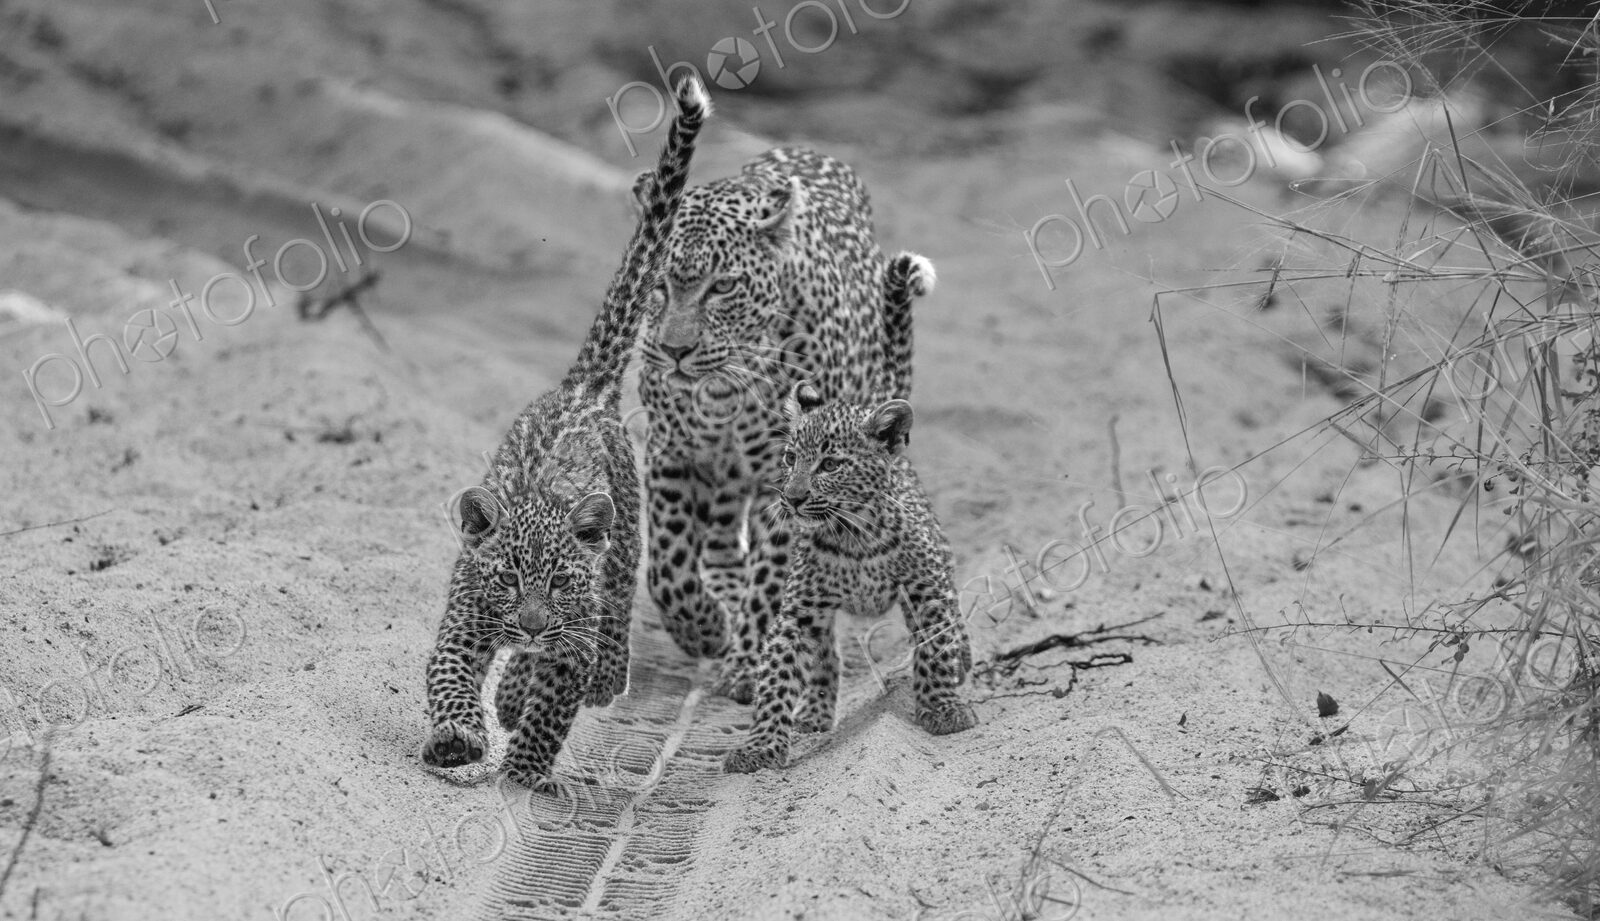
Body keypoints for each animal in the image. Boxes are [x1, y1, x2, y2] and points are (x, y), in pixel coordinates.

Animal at [420, 75, 709, 791]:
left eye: (557, 582)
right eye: (508, 578)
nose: (529, 621)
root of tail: (584, 389)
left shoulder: (570, 635)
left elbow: (553, 708)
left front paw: (523, 771)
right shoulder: (465, 621)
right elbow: (452, 680)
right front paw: (459, 738)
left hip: (625, 536)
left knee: (615, 611)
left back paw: (599, 679)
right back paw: (508, 692)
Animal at [637, 146, 928, 701]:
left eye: (723, 286)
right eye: (657, 285)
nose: (674, 350)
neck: (725, 386)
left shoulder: (789, 477)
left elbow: (771, 576)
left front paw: (746, 663)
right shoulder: (672, 452)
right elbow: (668, 561)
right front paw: (704, 628)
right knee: (720, 539)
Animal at [723, 375, 977, 774]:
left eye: (830, 464)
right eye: (791, 458)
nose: (792, 497)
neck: (853, 534)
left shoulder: (923, 588)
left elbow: (935, 646)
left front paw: (942, 708)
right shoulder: (799, 612)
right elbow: (778, 677)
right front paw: (760, 747)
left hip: (940, 560)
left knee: (953, 608)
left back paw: (962, 658)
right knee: (825, 656)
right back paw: (813, 713)